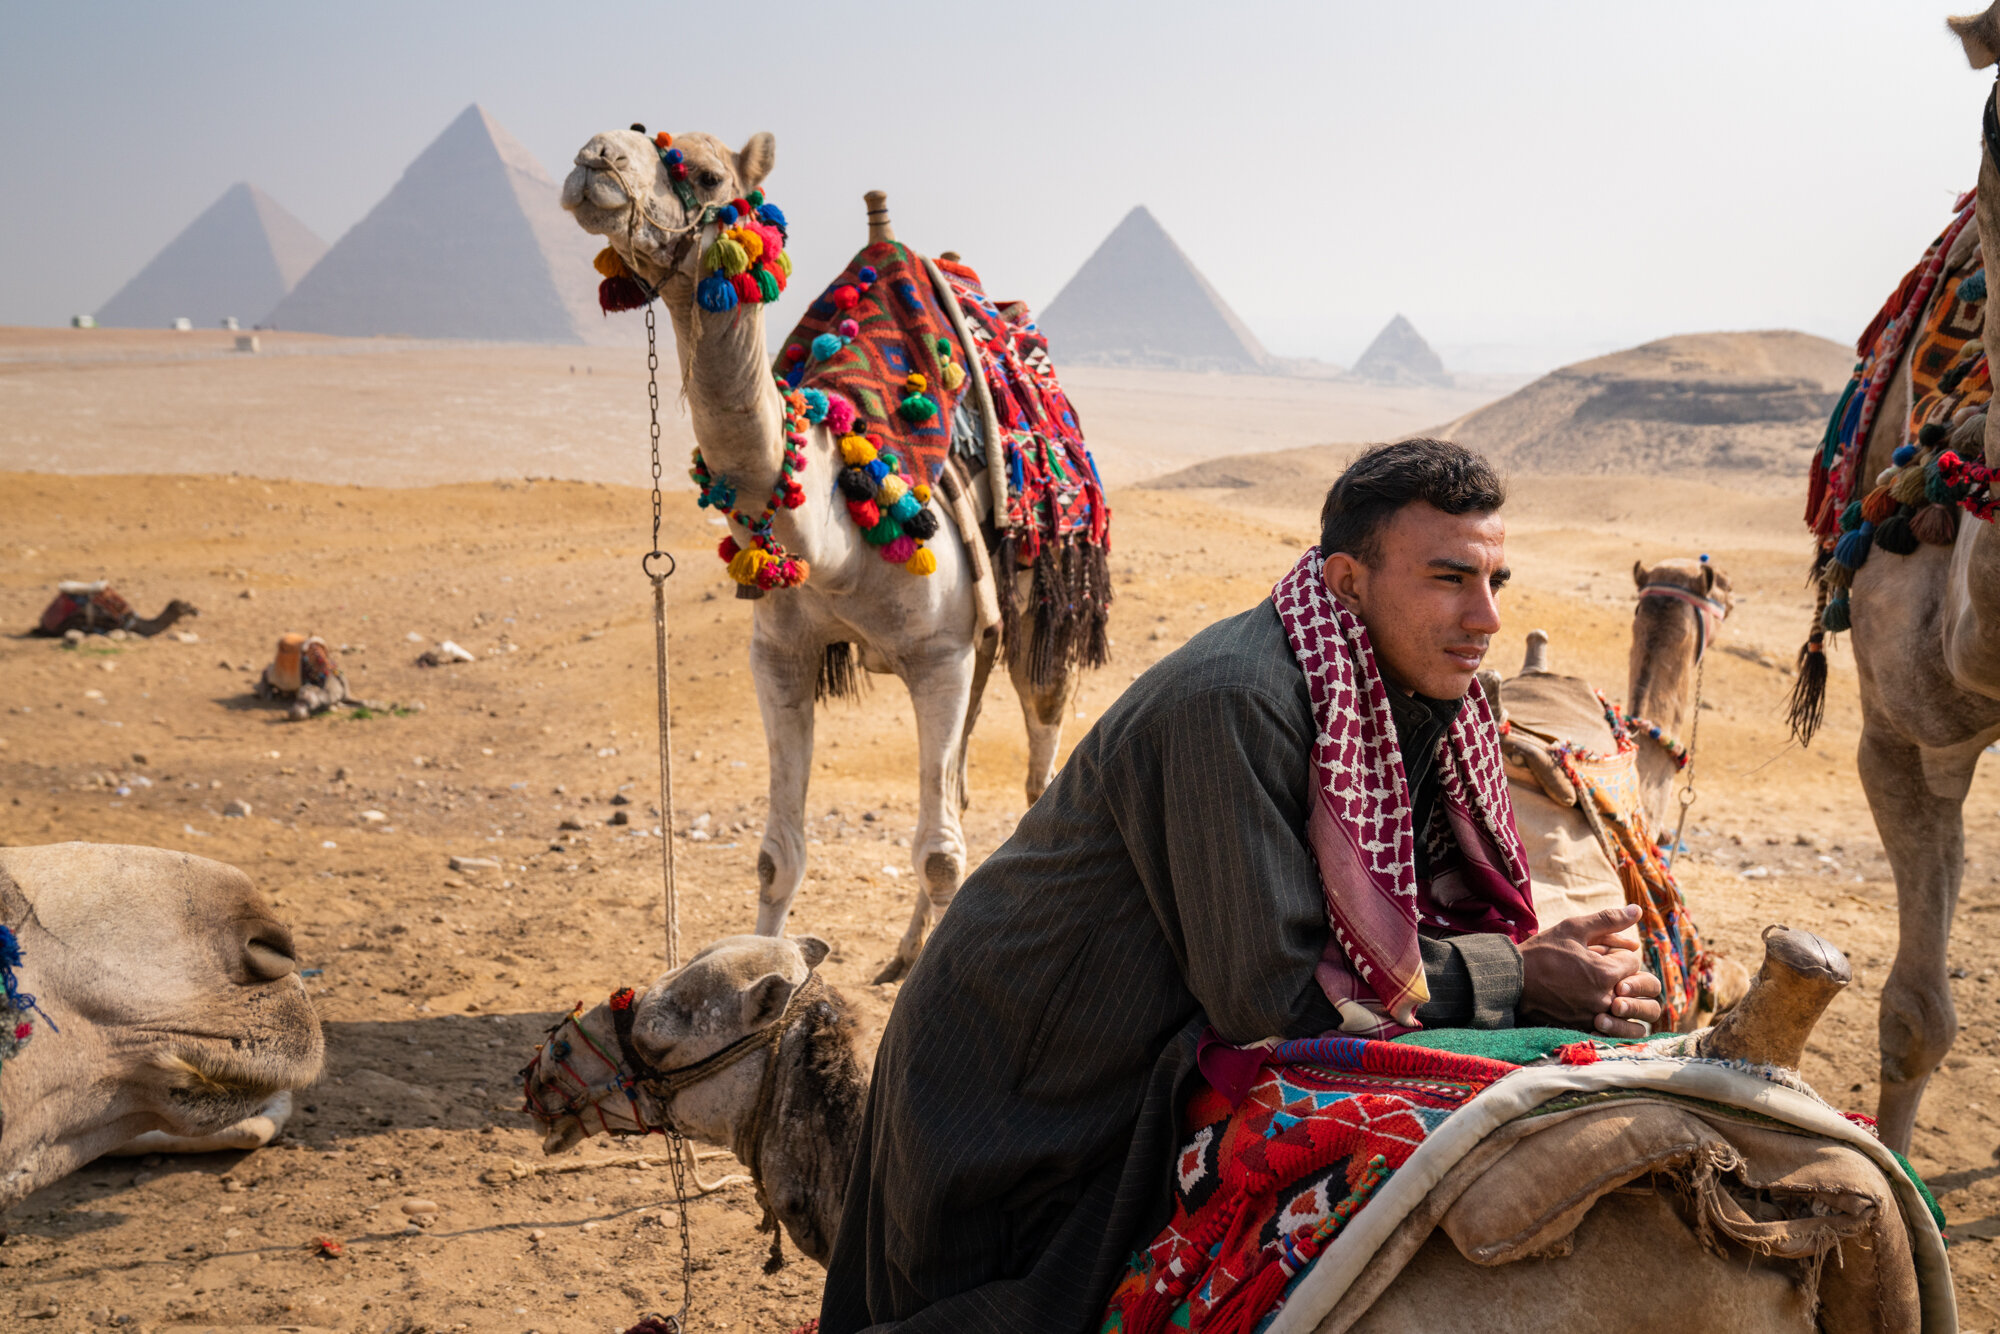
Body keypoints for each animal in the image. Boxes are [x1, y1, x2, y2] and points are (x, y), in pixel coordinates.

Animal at [560, 128, 1096, 980]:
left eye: (705, 173)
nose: (595, 156)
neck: (838, 528)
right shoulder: (780, 651)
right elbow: (777, 856)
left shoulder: (938, 655)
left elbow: (938, 856)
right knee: (956, 789)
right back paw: (904, 955)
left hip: (1045, 598)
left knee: (1035, 749)